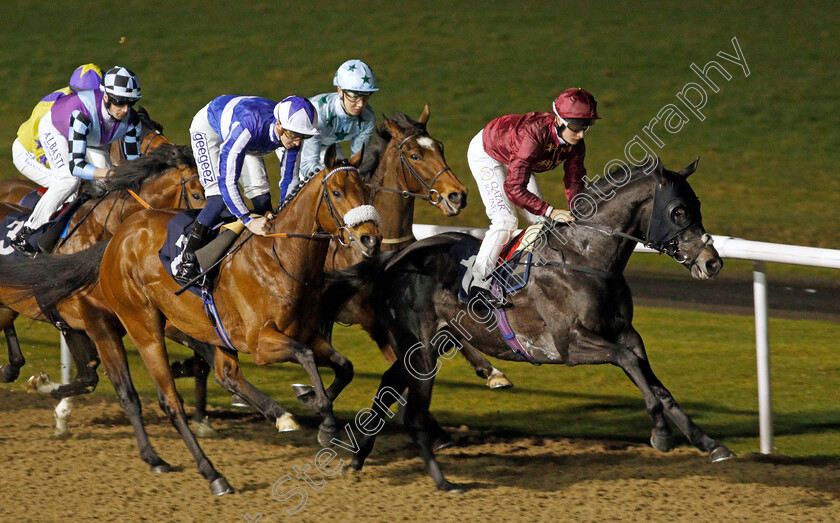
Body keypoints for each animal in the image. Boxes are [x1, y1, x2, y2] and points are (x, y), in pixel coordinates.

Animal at [322, 158, 736, 494]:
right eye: (678, 211)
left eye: (698, 205)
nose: (713, 262)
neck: (584, 257)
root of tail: (394, 259)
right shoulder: (570, 344)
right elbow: (630, 363)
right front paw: (661, 434)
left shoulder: (625, 333)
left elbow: (655, 382)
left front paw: (709, 444)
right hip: (421, 349)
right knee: (410, 411)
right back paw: (442, 481)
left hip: (428, 345)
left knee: (387, 387)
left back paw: (358, 457)